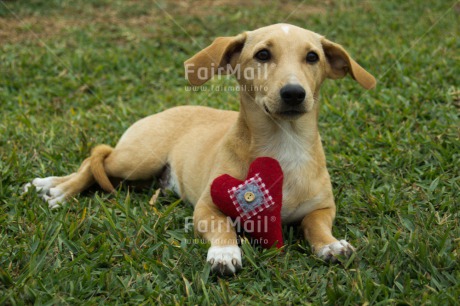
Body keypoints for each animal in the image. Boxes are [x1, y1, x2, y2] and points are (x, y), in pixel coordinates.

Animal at [25, 24, 376, 274]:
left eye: (313, 57)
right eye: (262, 55)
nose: (293, 93)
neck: (283, 142)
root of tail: (165, 110)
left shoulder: (322, 207)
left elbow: (315, 226)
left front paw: (330, 245)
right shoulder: (207, 207)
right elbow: (223, 226)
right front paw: (224, 252)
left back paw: (48, 184)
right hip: (138, 159)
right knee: (95, 159)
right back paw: (58, 190)